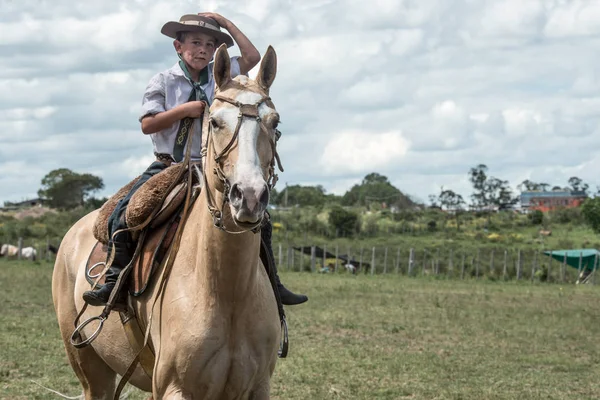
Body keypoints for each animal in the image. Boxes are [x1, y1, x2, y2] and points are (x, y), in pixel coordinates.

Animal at [52, 44, 282, 400]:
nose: (249, 196)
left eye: (275, 122)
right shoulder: (175, 387)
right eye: (215, 122)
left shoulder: (257, 387)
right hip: (91, 370)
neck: (225, 292)